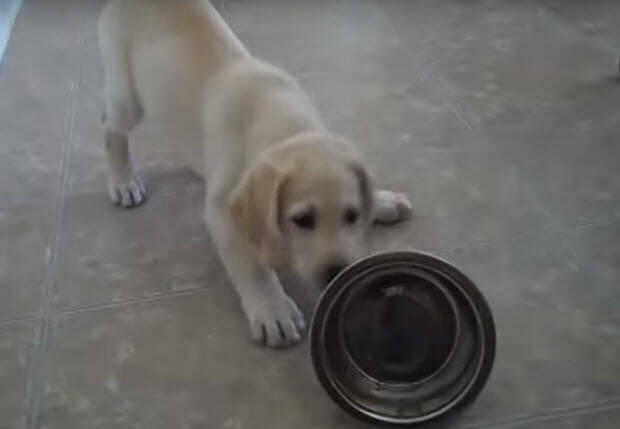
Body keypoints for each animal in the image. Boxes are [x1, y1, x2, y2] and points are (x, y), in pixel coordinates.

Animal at [99, 0, 414, 346]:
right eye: (303, 220)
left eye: (352, 216)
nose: (336, 273)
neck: (282, 121)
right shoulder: (223, 211)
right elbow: (251, 265)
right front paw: (271, 307)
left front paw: (382, 201)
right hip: (127, 99)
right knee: (110, 128)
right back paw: (124, 181)